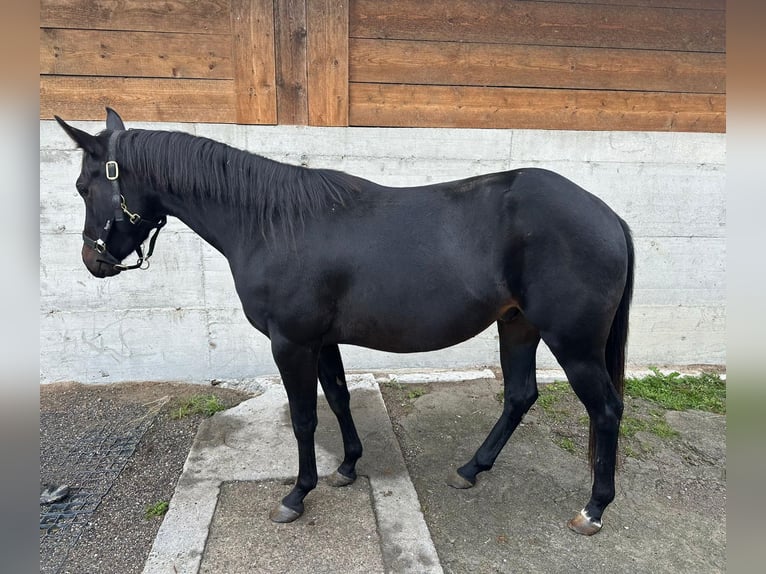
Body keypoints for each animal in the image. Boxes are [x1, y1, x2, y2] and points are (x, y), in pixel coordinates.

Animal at [55, 108, 634, 536]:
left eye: (84, 185)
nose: (91, 261)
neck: (271, 224)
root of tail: (608, 215)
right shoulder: (321, 341)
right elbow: (337, 397)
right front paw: (348, 467)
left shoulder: (291, 343)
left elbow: (304, 416)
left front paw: (296, 494)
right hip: (517, 325)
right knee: (519, 396)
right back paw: (471, 470)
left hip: (573, 343)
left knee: (605, 410)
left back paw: (594, 509)